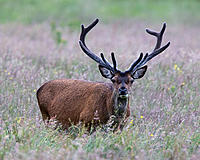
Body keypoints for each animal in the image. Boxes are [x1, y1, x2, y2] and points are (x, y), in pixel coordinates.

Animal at [36, 18, 170, 132]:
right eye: (113, 79)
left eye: (131, 80)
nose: (123, 90)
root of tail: (39, 89)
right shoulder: (85, 122)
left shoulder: (120, 127)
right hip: (46, 116)